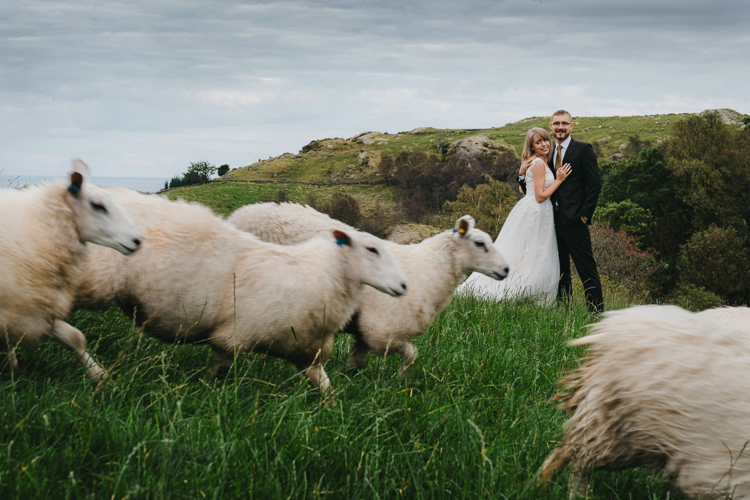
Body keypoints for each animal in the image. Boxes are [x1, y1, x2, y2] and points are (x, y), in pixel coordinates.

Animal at [0, 159, 142, 376]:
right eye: (97, 205)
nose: (137, 241)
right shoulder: (18, 308)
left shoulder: (33, 309)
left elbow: (75, 336)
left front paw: (98, 374)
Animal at [74, 189, 408, 396]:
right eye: (373, 250)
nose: (404, 286)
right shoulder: (235, 334)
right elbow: (218, 369)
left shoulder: (306, 350)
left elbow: (330, 386)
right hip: (94, 279)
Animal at [229, 202, 512, 372]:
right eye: (480, 244)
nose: (507, 269)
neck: (430, 269)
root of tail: (238, 215)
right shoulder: (381, 330)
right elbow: (411, 354)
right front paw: (402, 379)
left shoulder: (363, 332)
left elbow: (357, 362)